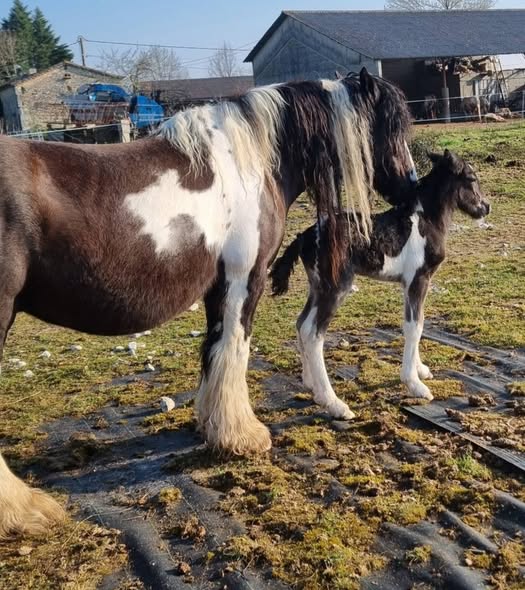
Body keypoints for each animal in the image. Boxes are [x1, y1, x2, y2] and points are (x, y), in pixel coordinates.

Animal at [0, 68, 417, 539]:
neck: (250, 162)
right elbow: (233, 349)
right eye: (391, 125)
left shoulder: (217, 288)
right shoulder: (241, 280)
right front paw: (241, 436)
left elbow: (212, 352)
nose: (412, 186)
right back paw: (24, 510)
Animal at [270, 150, 489, 418]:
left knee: (301, 324)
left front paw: (421, 369)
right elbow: (414, 326)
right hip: (336, 288)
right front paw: (415, 384)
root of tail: (305, 237)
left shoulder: (408, 284)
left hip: (317, 287)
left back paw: (311, 384)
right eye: (471, 178)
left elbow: (415, 322)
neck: (425, 221)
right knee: (313, 334)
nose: (485, 207)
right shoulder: (419, 279)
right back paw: (334, 403)